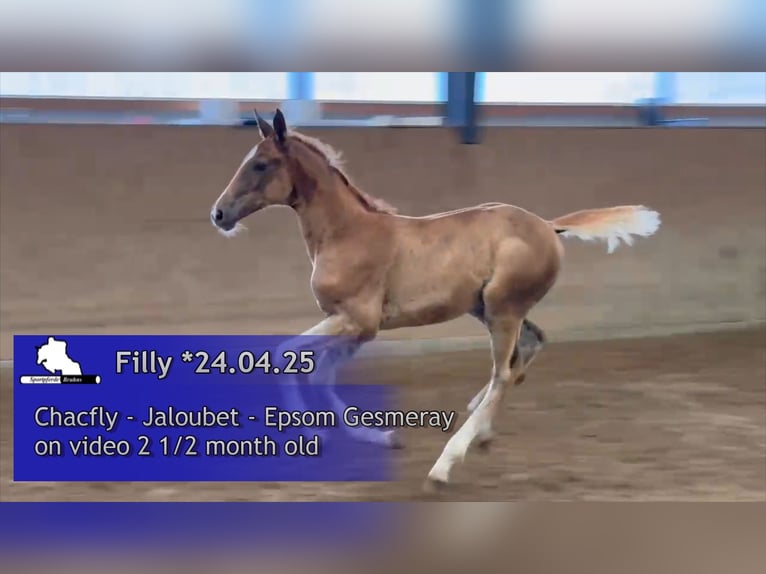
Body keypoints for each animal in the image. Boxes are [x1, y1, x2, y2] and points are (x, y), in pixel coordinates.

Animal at [210, 108, 661, 491]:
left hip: (503, 308)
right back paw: (481, 430)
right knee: (528, 350)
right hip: (488, 308)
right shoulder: (357, 329)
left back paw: (446, 463)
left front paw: (312, 430)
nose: (219, 214)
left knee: (503, 372)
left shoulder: (357, 320)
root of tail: (549, 226)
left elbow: (286, 355)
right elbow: (319, 373)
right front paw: (373, 437)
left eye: (261, 164)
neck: (345, 233)